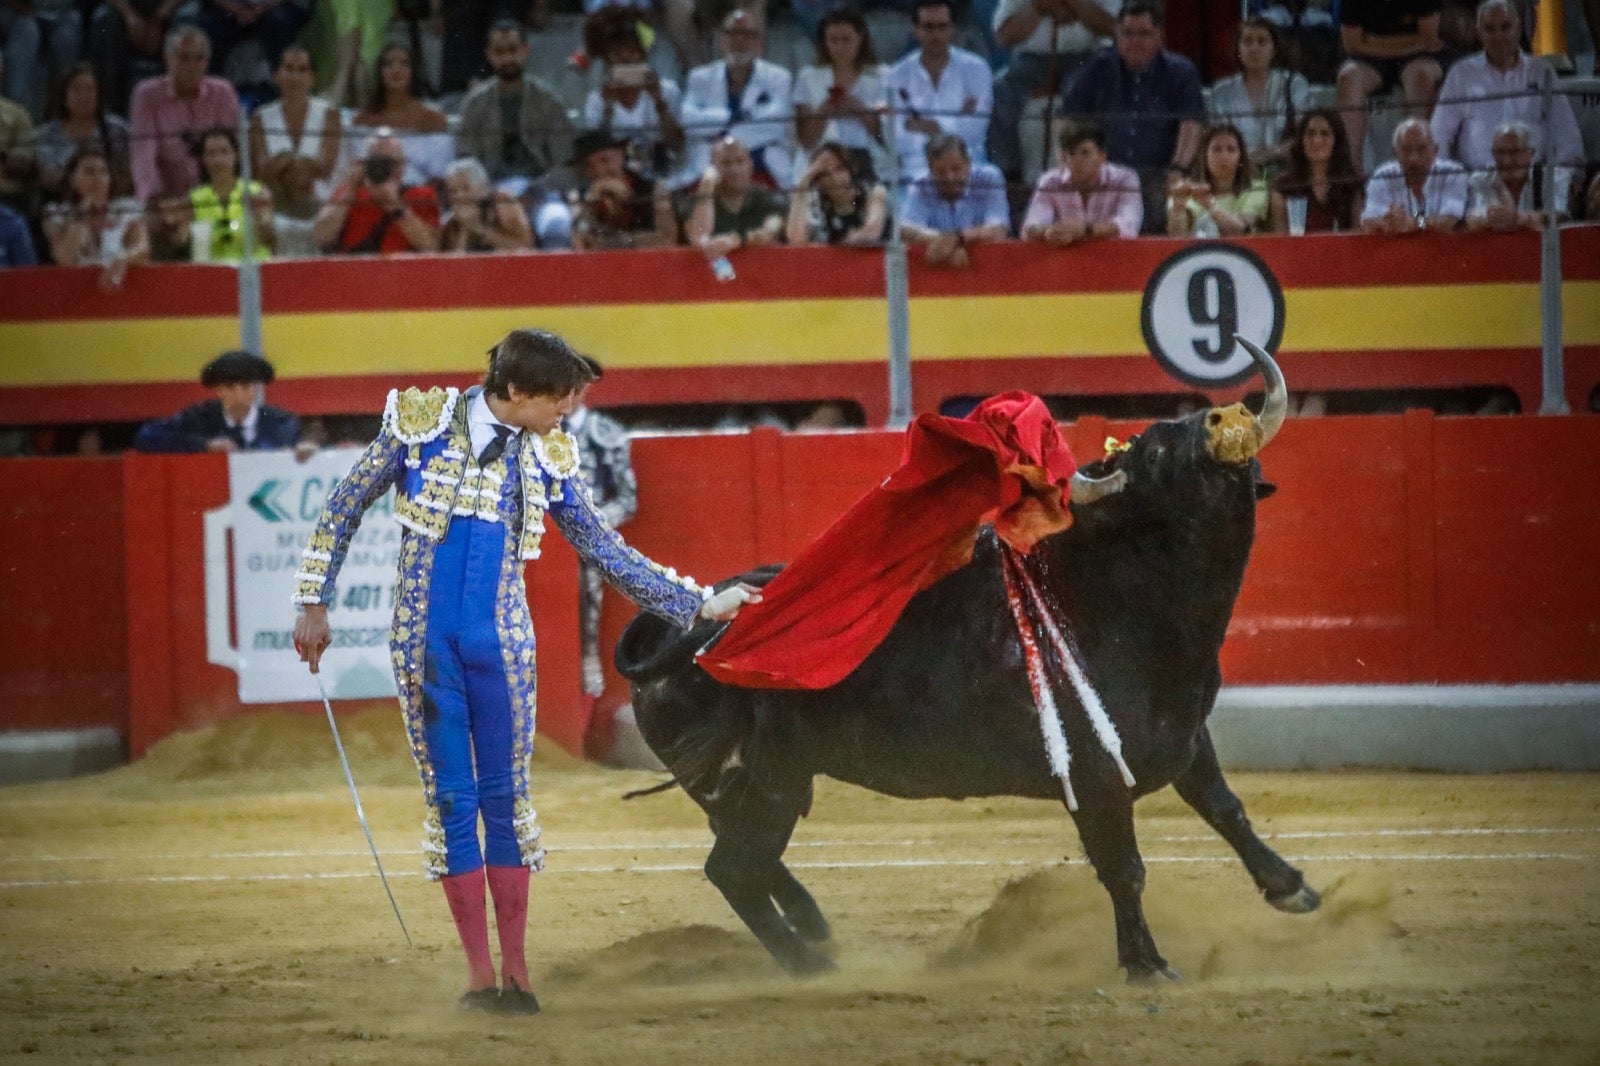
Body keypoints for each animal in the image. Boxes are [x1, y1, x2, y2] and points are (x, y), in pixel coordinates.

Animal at [611, 340, 1312, 979]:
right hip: (771, 782)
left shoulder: (1185, 736)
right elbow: (1124, 868)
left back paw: (814, 932)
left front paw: (1291, 888)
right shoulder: (1095, 776)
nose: (1223, 418)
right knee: (734, 868)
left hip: (741, 786)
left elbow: (1225, 808)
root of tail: (678, 631)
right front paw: (1146, 964)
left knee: (743, 859)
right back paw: (811, 967)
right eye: (1156, 451)